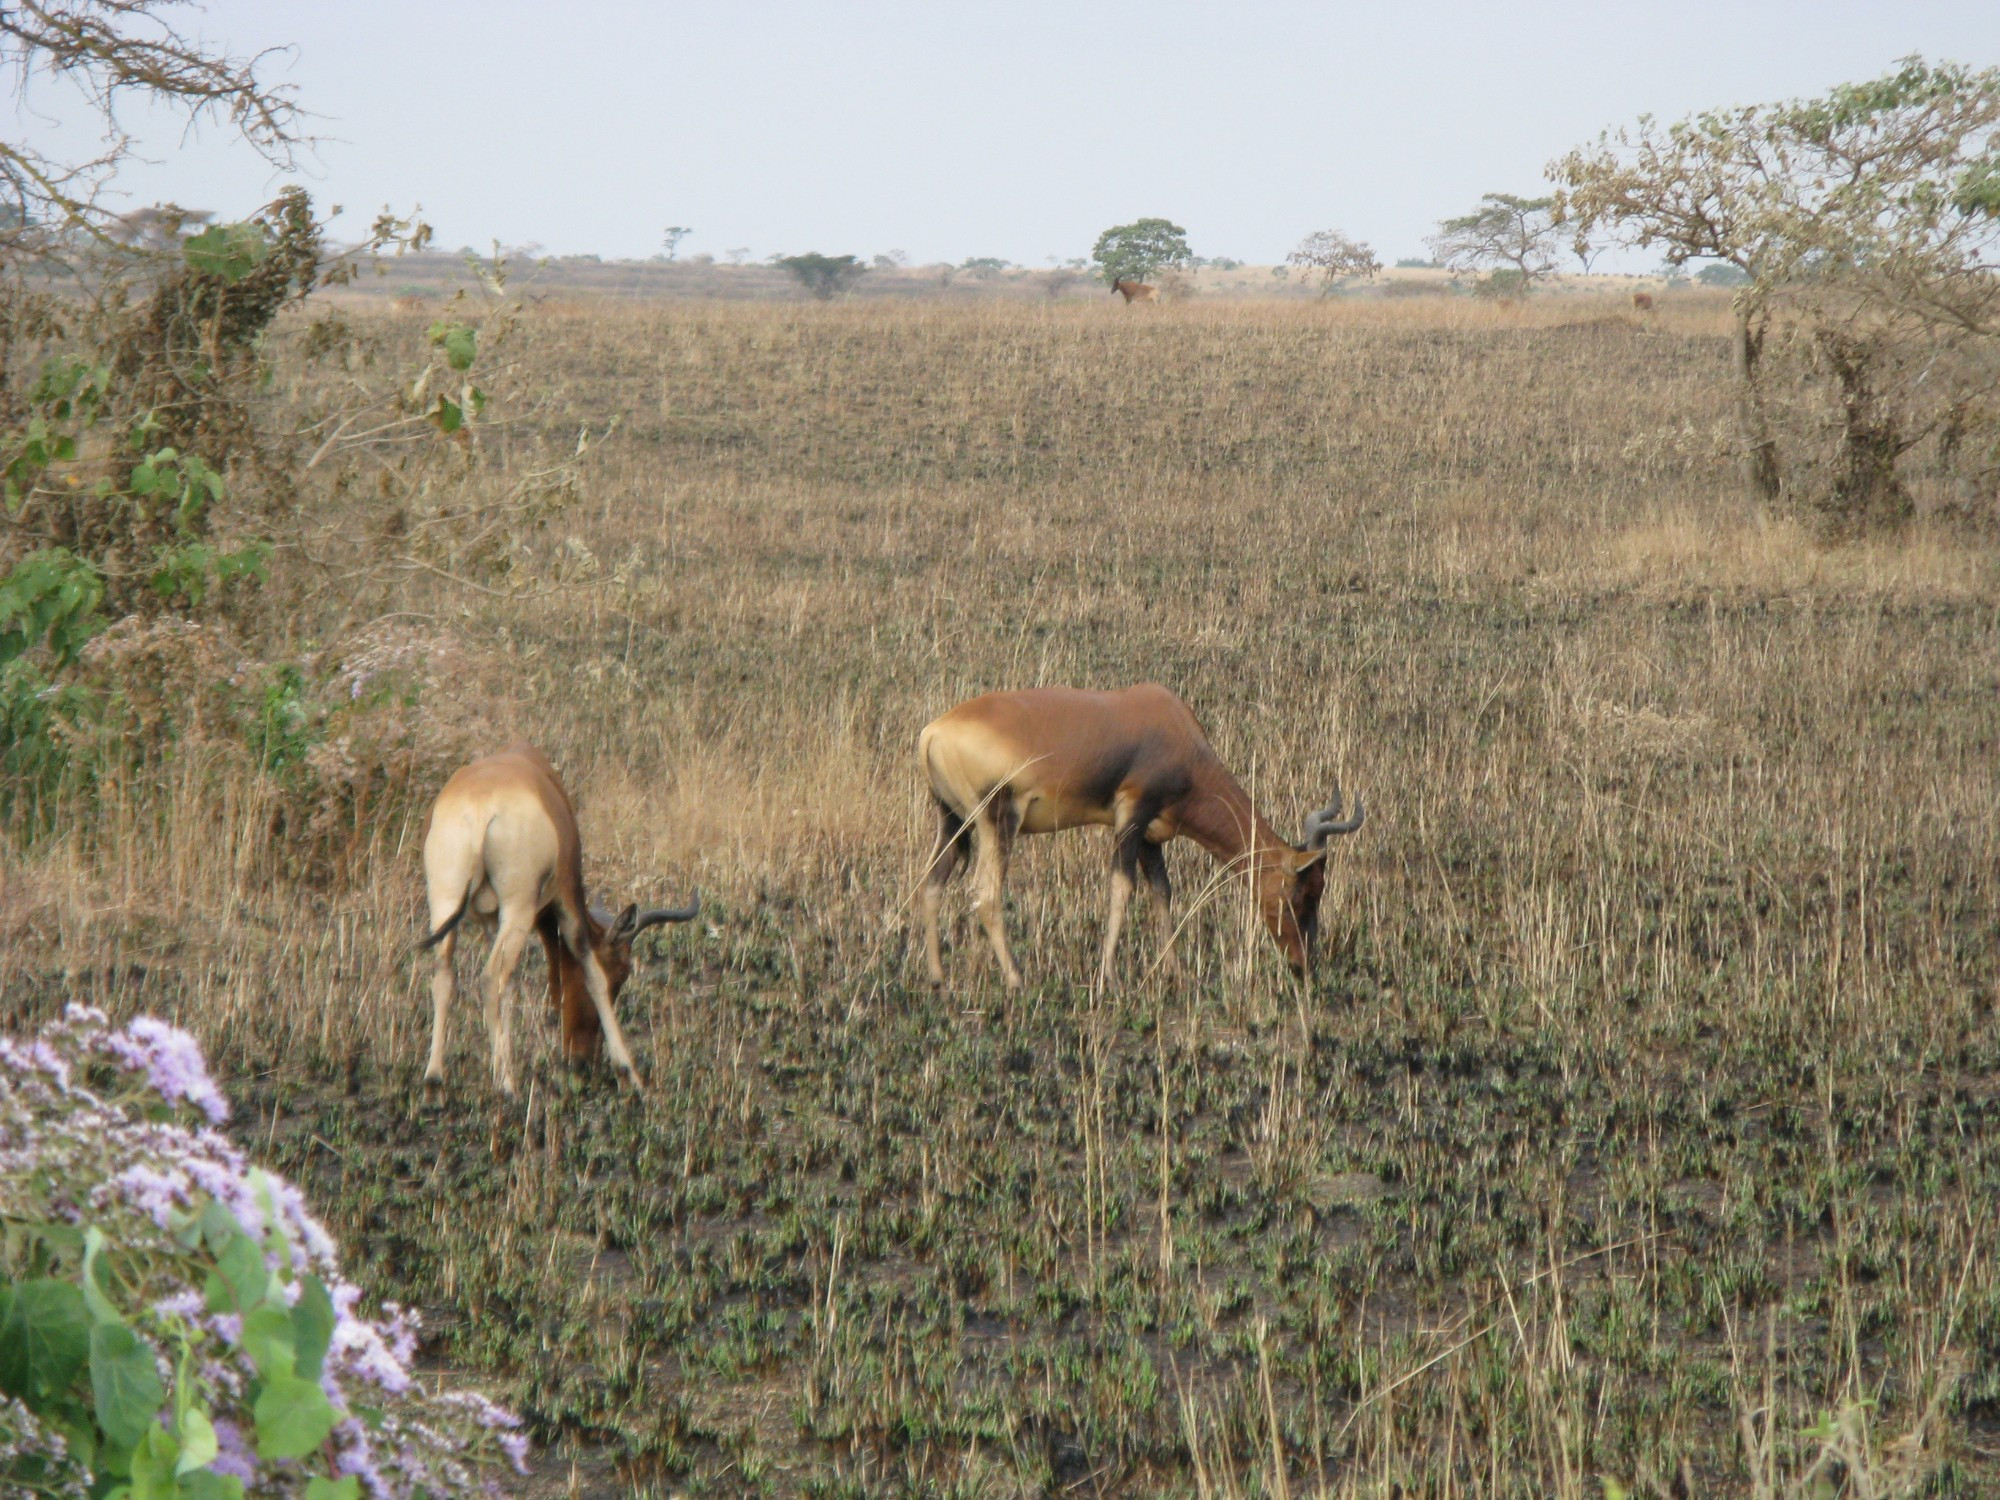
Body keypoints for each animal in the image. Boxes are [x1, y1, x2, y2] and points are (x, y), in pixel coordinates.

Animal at [422, 748, 704, 1096]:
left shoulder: (491, 922)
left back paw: (434, 1079)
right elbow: (590, 969)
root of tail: (480, 808)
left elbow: (510, 989)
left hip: (444, 902)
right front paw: (630, 1074)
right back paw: (507, 1086)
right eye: (622, 973)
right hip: (519, 906)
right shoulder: (567, 898)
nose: (584, 1059)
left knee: (445, 975)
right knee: (489, 978)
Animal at [916, 688, 1360, 992]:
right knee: (986, 893)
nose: (1303, 966)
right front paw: (1110, 978)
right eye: (1301, 894)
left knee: (933, 883)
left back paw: (938, 980)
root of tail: (932, 733)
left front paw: (1175, 972)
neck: (1171, 725)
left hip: (952, 822)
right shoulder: (1131, 813)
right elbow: (1122, 887)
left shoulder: (1151, 835)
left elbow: (1161, 890)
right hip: (997, 821)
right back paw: (1017, 979)